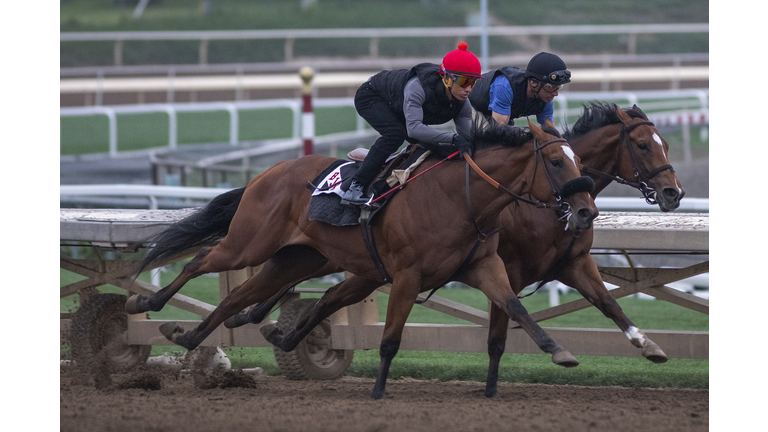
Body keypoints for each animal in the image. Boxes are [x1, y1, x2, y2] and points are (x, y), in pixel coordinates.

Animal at [126, 119, 596, 398]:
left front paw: (559, 351)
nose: (586, 211)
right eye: (557, 161)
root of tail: (266, 173)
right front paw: (379, 389)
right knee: (202, 259)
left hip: (295, 259)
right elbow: (389, 339)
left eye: (581, 159)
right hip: (250, 244)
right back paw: (147, 303)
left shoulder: (484, 266)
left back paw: (187, 335)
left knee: (235, 298)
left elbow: (516, 306)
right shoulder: (407, 275)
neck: (460, 198)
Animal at [236, 100, 684, 394]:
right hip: (330, 255)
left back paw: (281, 335)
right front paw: (491, 388)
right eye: (643, 145)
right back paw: (255, 317)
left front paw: (651, 346)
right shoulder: (510, 269)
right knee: (287, 280)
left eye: (665, 142)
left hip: (366, 270)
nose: (673, 193)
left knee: (327, 297)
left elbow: (608, 304)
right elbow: (500, 333)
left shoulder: (572, 263)